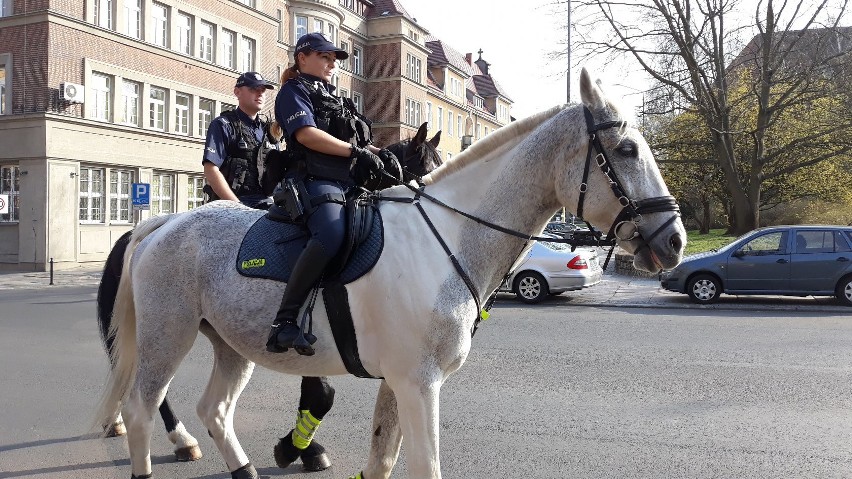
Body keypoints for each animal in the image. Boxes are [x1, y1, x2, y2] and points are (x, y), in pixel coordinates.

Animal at [96, 68, 688, 479]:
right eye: (627, 148)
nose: (675, 240)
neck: (445, 238)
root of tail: (166, 222)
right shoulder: (417, 383)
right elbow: (423, 466)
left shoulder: (400, 383)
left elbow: (381, 460)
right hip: (167, 336)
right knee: (142, 408)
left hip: (232, 344)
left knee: (214, 408)